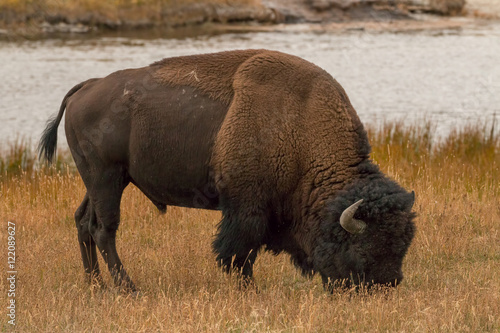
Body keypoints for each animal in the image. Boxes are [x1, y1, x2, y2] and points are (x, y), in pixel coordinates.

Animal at [38, 49, 414, 290]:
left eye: (403, 244)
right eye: (364, 247)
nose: (387, 285)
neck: (299, 125)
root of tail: (87, 87)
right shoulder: (246, 206)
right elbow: (239, 251)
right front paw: (249, 288)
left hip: (101, 181)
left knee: (83, 222)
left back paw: (95, 285)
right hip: (107, 179)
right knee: (104, 229)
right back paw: (127, 288)